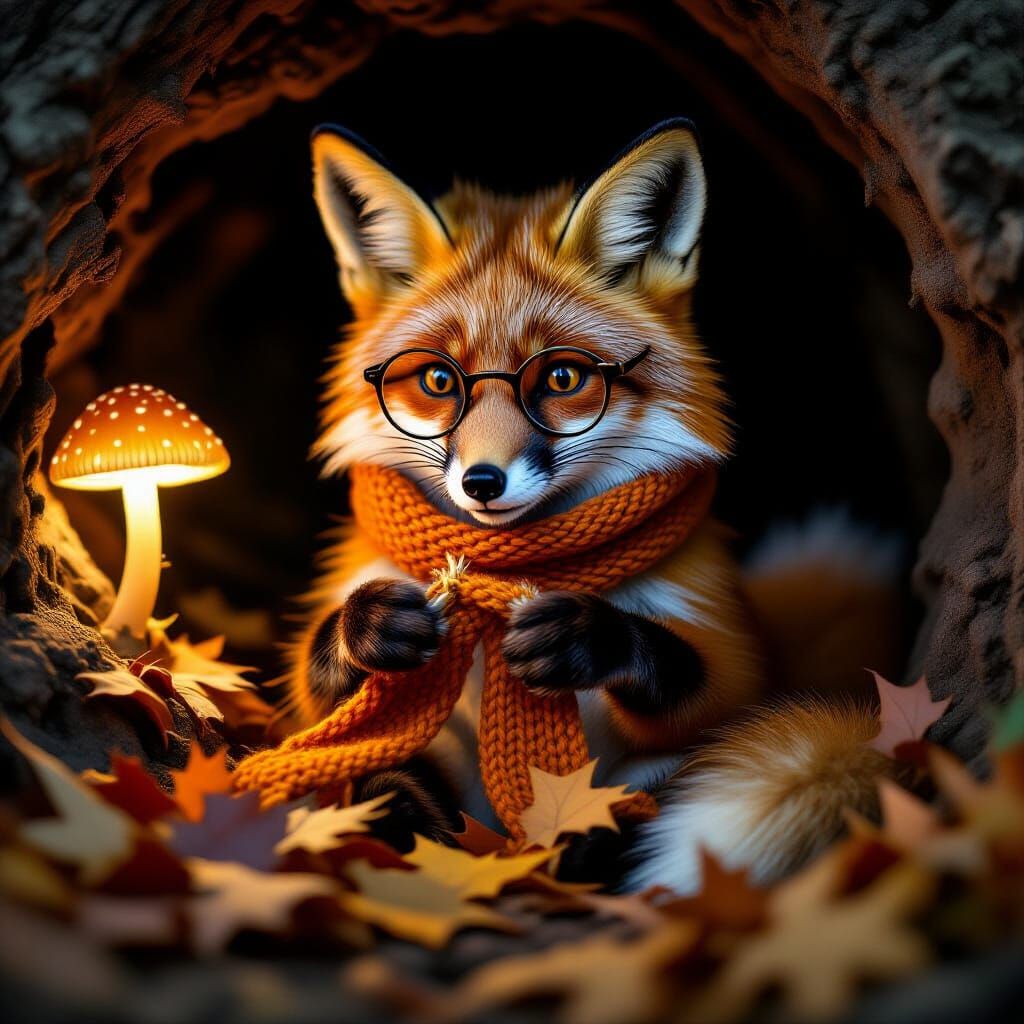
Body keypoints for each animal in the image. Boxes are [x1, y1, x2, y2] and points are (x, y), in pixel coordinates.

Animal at [287, 119, 902, 891]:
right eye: (437, 380)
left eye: (561, 378)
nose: (482, 482)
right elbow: (315, 697)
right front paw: (368, 626)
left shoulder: (725, 642)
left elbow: (712, 683)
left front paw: (587, 637)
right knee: (383, 783)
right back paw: (402, 808)